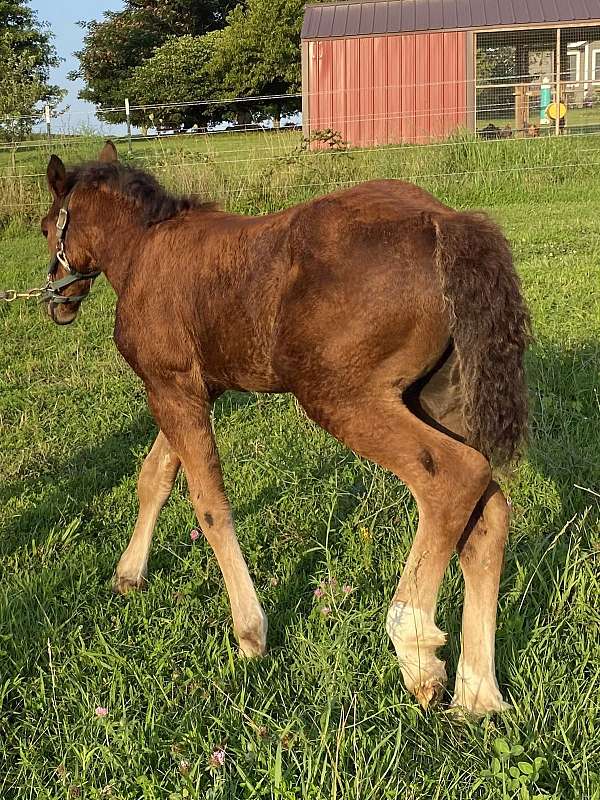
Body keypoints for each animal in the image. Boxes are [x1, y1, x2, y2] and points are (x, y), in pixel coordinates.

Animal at [41, 141, 528, 716]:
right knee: (486, 515)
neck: (144, 250)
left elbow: (208, 503)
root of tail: (441, 220)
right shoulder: (193, 390)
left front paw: (250, 632)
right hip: (437, 399)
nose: (56, 302)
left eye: (48, 228)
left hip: (341, 398)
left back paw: (414, 647)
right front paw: (128, 574)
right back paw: (477, 692)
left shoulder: (171, 388)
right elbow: (154, 477)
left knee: (452, 477)